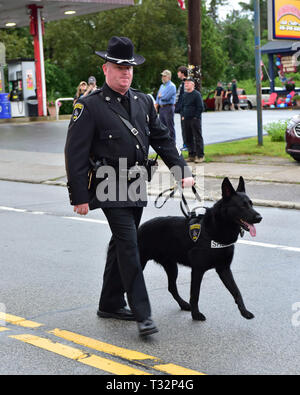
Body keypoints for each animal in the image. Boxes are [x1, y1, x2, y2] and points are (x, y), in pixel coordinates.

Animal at [139, 178, 262, 324]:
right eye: (242, 206)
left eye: (251, 204)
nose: (260, 217)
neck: (214, 231)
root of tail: (140, 227)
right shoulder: (198, 270)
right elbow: (195, 294)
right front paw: (196, 315)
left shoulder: (224, 269)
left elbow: (236, 291)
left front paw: (244, 311)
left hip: (172, 267)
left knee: (171, 287)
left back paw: (183, 304)